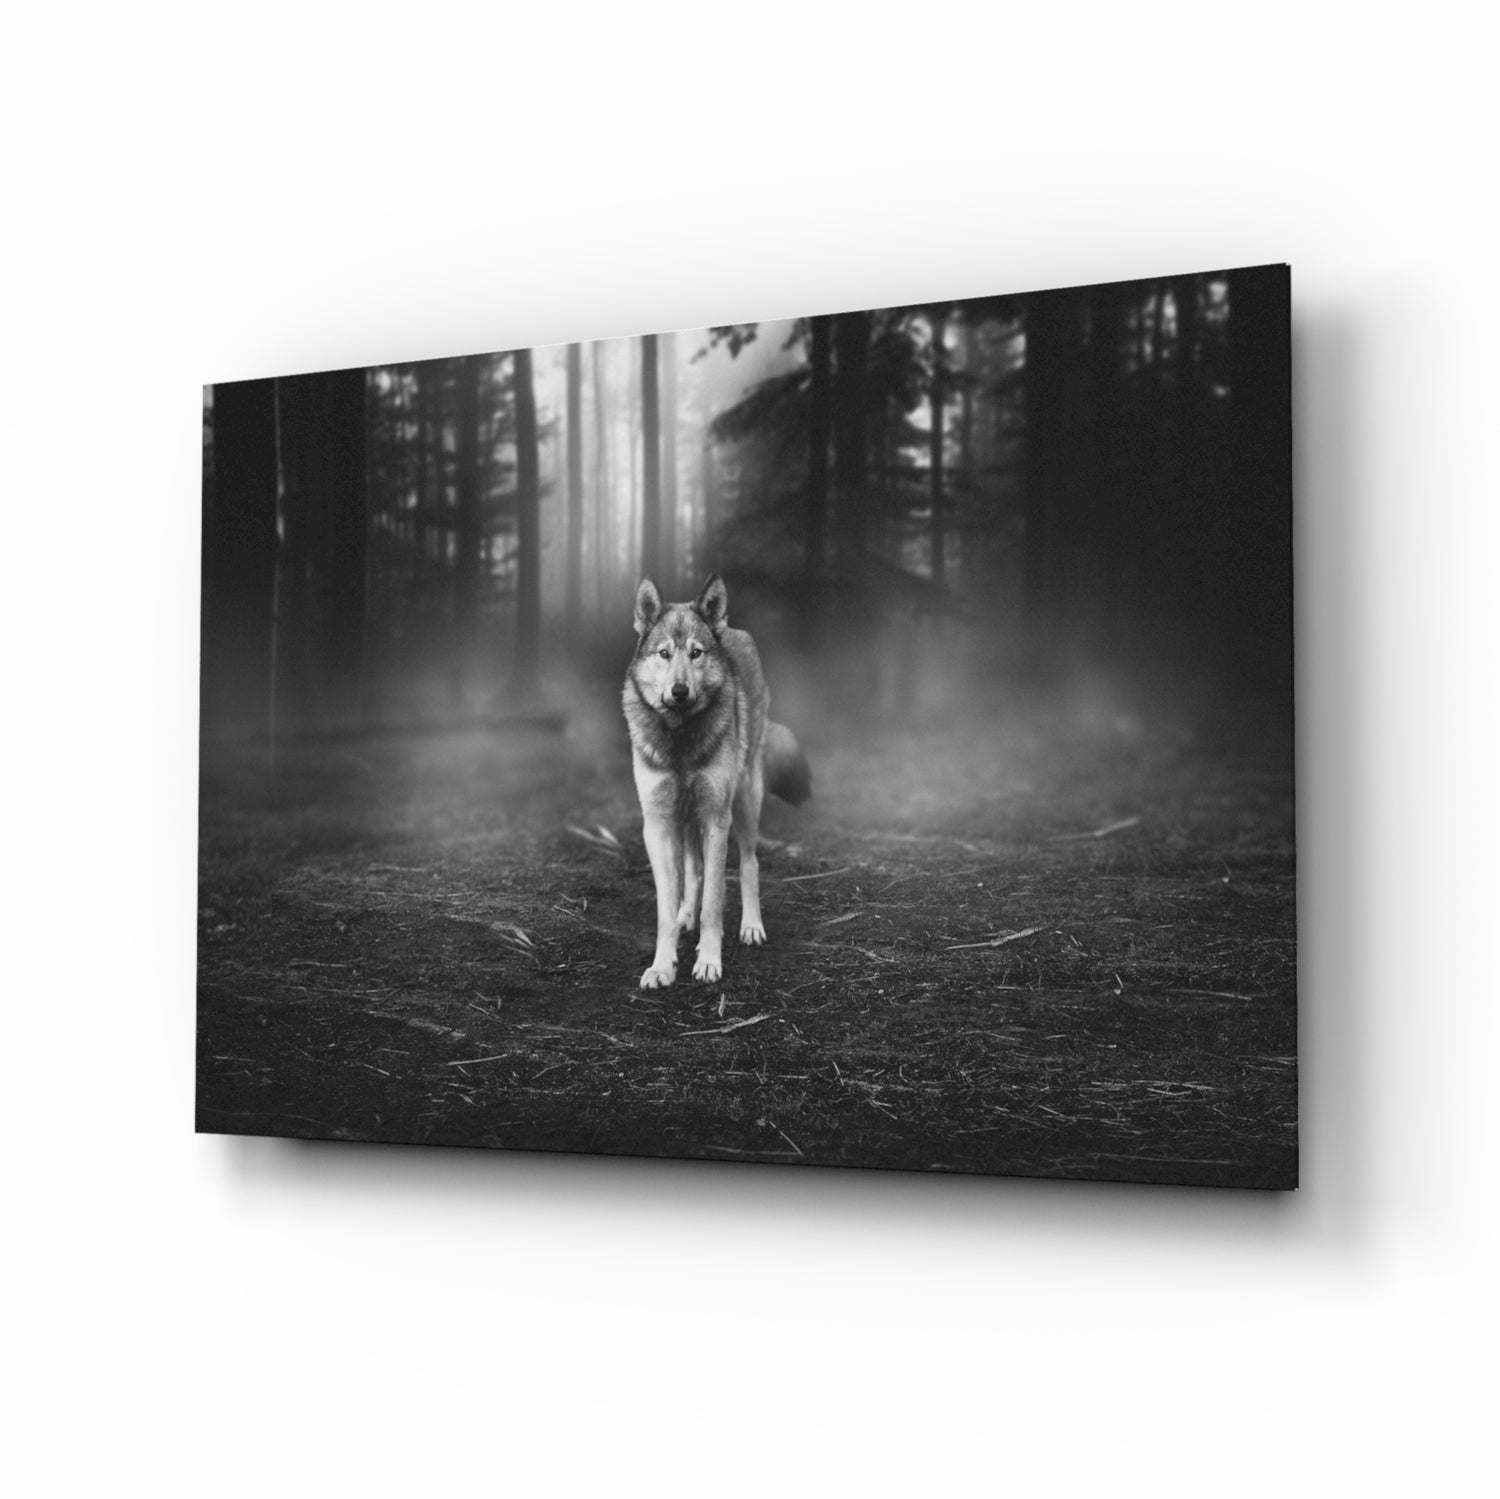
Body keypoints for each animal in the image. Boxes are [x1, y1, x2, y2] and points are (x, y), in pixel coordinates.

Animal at [622, 574, 811, 989]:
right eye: (664, 653)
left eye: (696, 653)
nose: (679, 691)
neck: (680, 738)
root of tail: (735, 630)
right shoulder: (657, 824)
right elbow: (666, 906)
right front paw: (662, 965)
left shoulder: (715, 818)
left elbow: (714, 900)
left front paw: (709, 960)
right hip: (686, 818)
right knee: (692, 871)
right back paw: (685, 917)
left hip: (744, 802)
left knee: (749, 864)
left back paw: (751, 926)